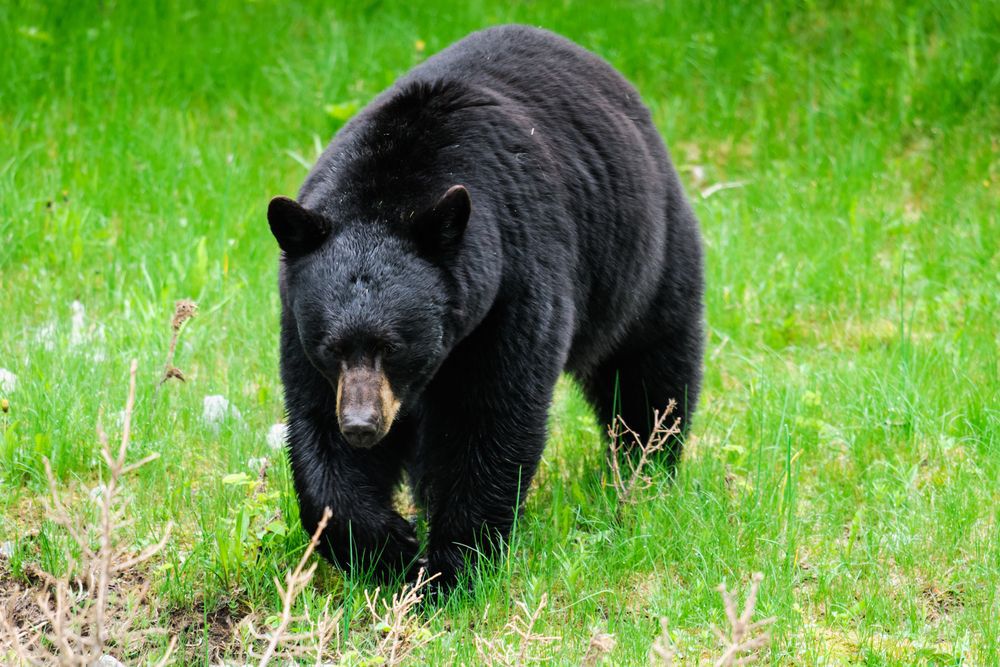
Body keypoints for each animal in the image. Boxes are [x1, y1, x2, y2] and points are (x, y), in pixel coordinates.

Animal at [267, 24, 705, 589]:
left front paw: (451, 566)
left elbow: (491, 417)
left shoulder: (512, 285)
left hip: (645, 258)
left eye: (394, 346)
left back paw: (644, 466)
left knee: (649, 369)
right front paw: (386, 547)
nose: (362, 424)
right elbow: (317, 423)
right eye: (332, 347)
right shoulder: (299, 317)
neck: (389, 188)